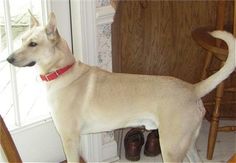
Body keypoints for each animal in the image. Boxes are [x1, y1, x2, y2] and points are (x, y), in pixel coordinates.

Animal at [6, 12, 235, 162]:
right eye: (22, 39)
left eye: (33, 44)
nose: (8, 59)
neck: (63, 71)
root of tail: (192, 88)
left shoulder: (69, 139)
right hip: (186, 144)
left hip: (171, 147)